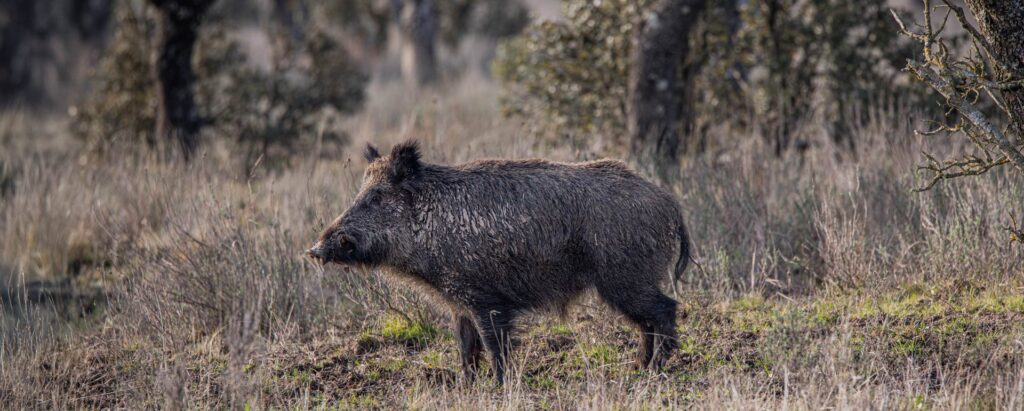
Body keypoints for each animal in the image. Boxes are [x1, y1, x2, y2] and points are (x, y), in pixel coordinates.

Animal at [307, 141, 691, 383]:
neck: (429, 226)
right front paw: (464, 386)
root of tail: (670, 204)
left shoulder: (484, 299)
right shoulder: (458, 302)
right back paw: (637, 367)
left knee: (665, 310)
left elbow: (494, 347)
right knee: (647, 322)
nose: (315, 249)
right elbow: (465, 346)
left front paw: (499, 386)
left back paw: (654, 370)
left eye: (376, 197)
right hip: (627, 280)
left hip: (625, 277)